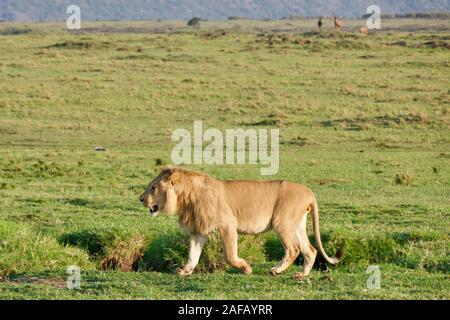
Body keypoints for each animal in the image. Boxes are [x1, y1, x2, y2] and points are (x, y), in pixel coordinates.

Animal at [139, 166, 342, 278]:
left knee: (293, 249)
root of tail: (309, 191)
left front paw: (246, 268)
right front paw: (185, 271)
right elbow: (193, 255)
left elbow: (229, 255)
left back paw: (276, 270)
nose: (141, 199)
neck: (186, 197)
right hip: (297, 224)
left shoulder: (228, 224)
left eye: (153, 188)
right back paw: (301, 274)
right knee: (311, 250)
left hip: (282, 222)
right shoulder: (198, 230)